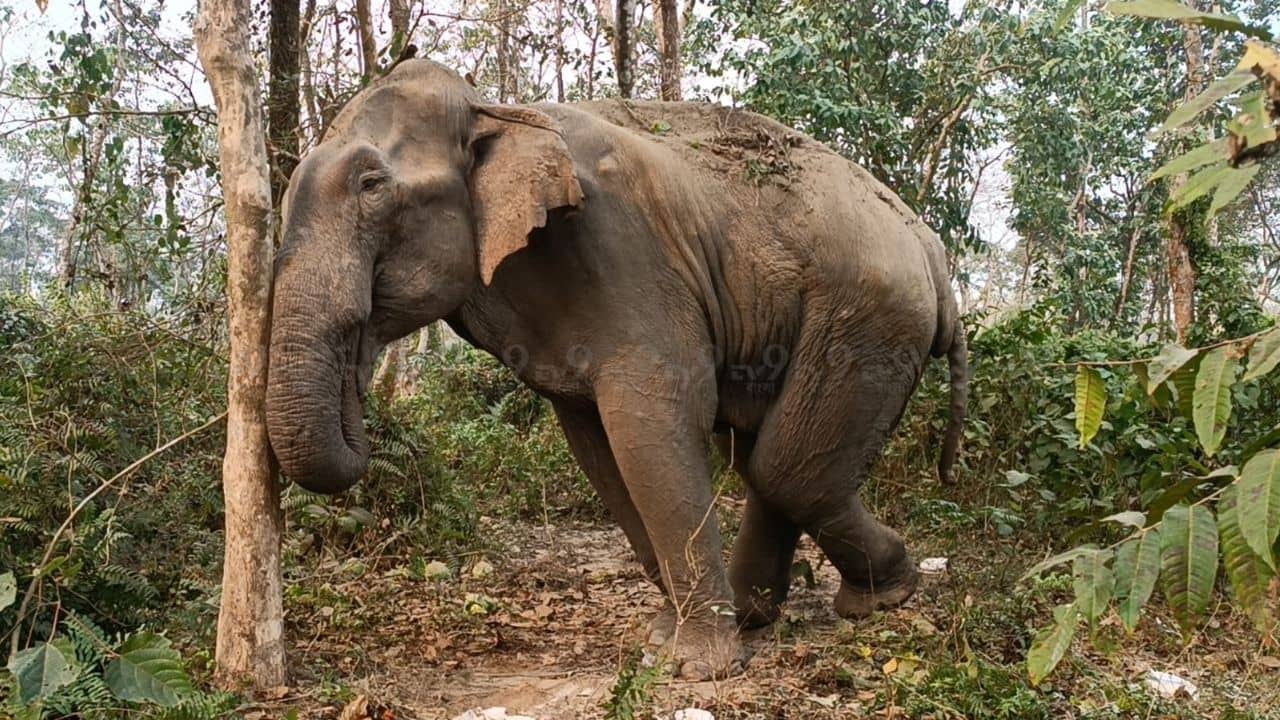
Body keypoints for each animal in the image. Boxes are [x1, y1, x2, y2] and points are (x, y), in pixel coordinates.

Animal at [265, 59, 968, 680]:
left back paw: (877, 600)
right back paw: (769, 613)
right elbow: (595, 441)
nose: (362, 379)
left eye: (371, 187)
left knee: (784, 468)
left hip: (868, 321)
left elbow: (651, 418)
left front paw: (693, 667)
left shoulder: (624, 249)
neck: (496, 107)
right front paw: (665, 635)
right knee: (767, 459)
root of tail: (930, 246)